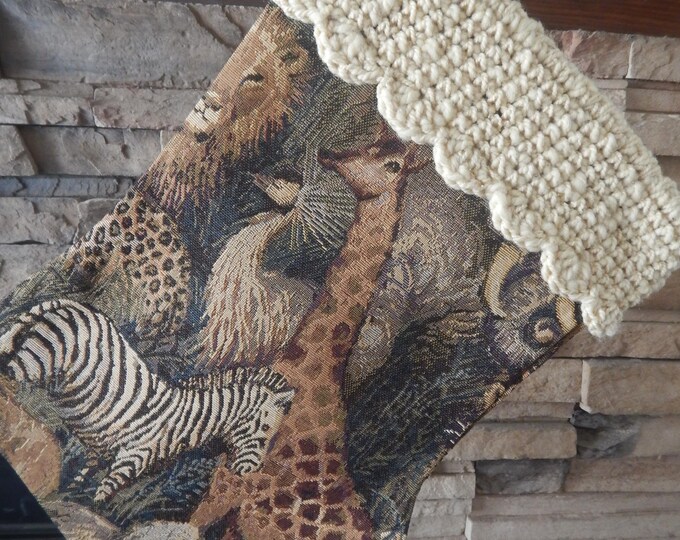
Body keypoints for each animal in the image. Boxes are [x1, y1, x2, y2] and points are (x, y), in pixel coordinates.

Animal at [0, 299, 295, 502]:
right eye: (265, 431)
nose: (247, 475)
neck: (185, 422)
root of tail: (73, 305)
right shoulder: (134, 455)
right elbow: (104, 492)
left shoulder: (100, 451)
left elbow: (83, 478)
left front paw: (69, 495)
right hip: (38, 360)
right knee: (10, 371)